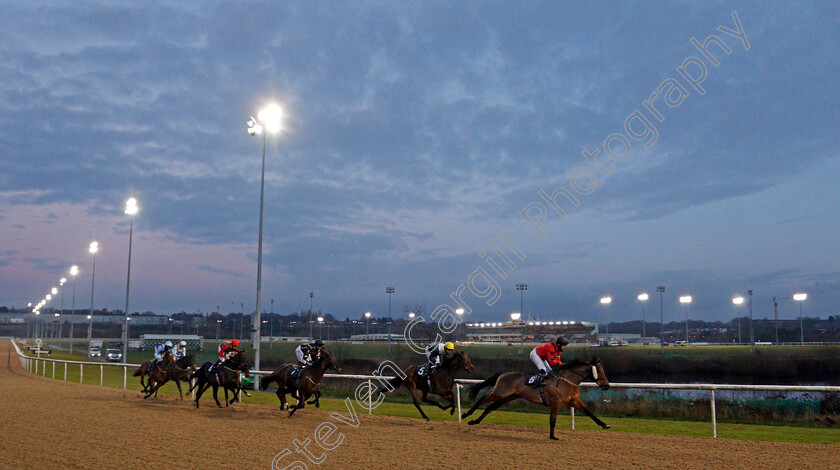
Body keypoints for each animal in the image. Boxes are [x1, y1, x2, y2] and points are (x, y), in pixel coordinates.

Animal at [460, 358, 612, 438]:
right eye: (599, 372)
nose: (607, 385)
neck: (567, 381)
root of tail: (503, 373)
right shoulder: (556, 402)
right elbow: (552, 420)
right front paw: (552, 436)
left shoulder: (573, 401)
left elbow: (589, 412)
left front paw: (605, 424)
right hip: (500, 393)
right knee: (483, 398)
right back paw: (466, 414)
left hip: (507, 397)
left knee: (490, 408)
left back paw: (474, 421)